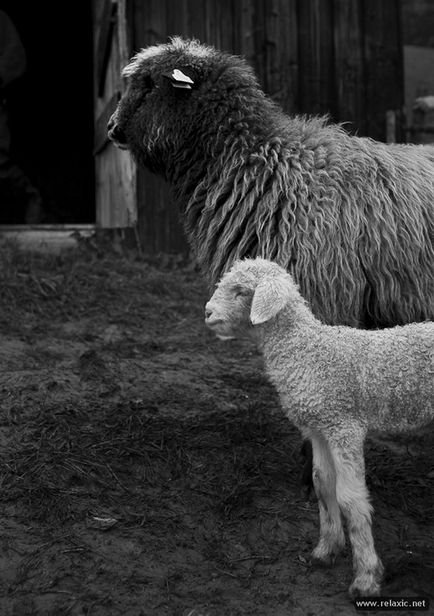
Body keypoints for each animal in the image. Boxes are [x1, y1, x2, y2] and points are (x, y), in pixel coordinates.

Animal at [204, 258, 434, 600]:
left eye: (242, 290)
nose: (207, 312)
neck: (309, 351)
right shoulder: (318, 428)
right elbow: (322, 483)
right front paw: (326, 550)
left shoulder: (344, 425)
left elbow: (350, 498)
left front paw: (366, 577)